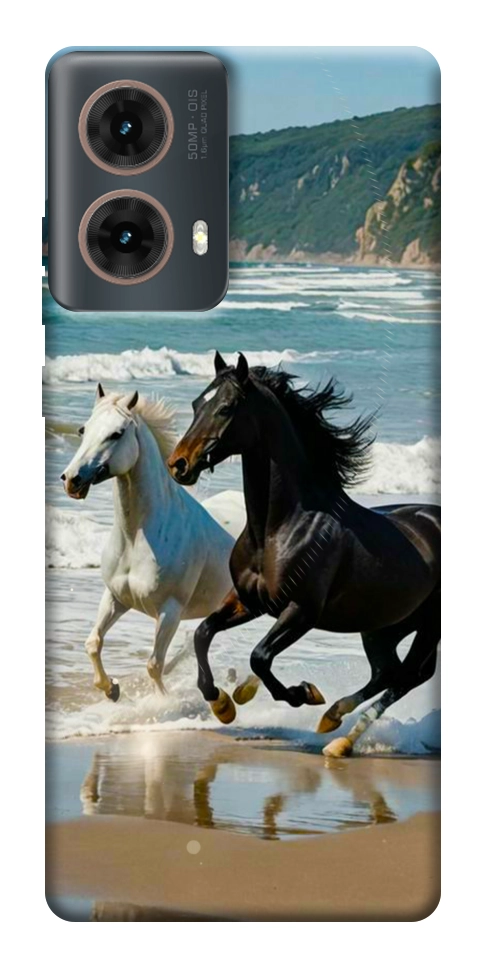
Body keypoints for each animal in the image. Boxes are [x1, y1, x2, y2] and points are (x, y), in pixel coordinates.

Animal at [61, 383, 234, 701]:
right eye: (83, 429)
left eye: (116, 433)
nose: (71, 480)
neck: (137, 538)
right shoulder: (116, 597)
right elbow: (93, 643)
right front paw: (111, 689)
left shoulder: (170, 611)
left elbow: (154, 664)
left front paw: (161, 703)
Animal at [167, 352, 441, 757]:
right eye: (197, 404)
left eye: (227, 408)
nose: (179, 464)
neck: (279, 528)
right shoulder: (249, 601)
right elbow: (203, 633)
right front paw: (223, 704)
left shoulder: (302, 611)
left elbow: (260, 657)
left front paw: (303, 693)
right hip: (383, 626)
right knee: (388, 672)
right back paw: (333, 722)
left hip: (426, 627)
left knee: (407, 676)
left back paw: (339, 737)